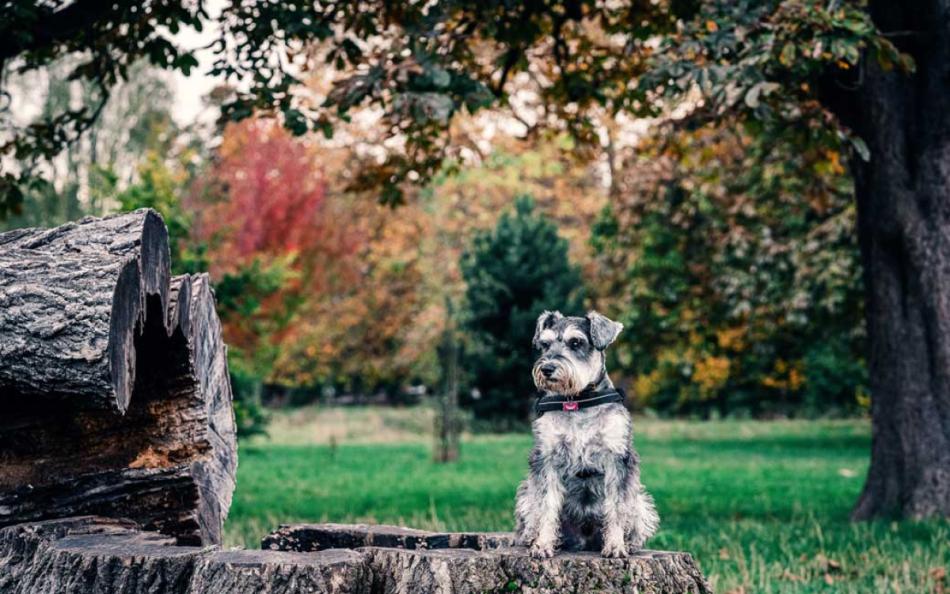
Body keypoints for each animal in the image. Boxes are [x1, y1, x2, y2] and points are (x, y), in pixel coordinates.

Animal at [512, 308, 660, 556]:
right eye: (545, 344)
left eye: (575, 342)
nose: (547, 368)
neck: (578, 401)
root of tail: (584, 540)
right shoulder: (547, 457)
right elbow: (546, 505)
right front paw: (543, 544)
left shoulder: (616, 456)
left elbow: (617, 506)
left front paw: (616, 545)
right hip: (526, 492)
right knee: (532, 513)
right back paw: (531, 537)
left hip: (640, 500)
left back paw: (630, 542)